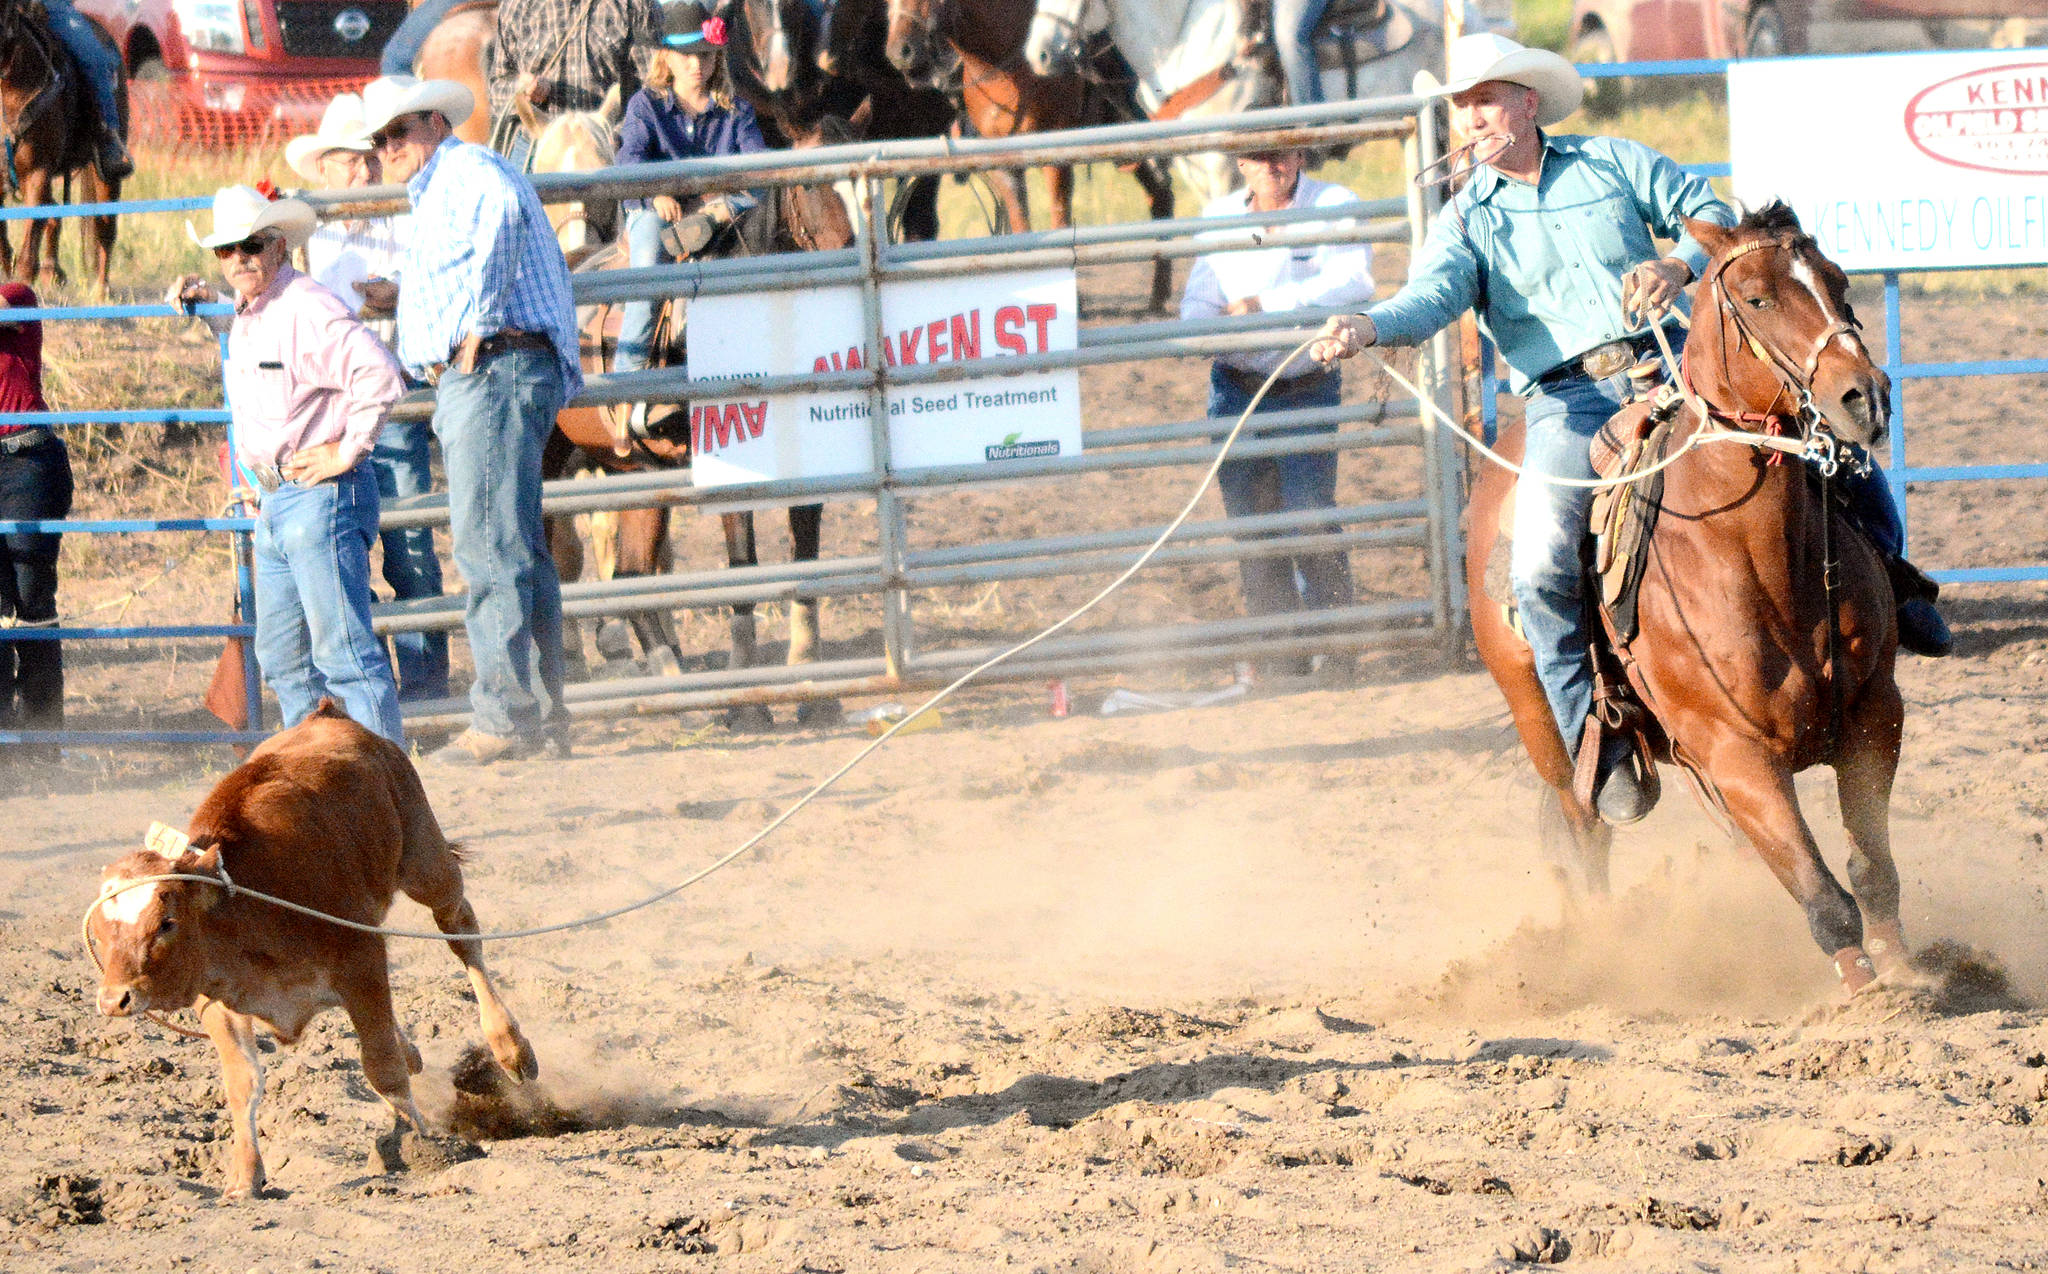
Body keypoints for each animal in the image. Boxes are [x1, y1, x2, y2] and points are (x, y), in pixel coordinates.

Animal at [0, 0, 121, 294]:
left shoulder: (39, 171)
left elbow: (33, 223)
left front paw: (22, 280)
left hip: (105, 173)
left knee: (105, 226)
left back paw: (101, 291)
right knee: (54, 213)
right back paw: (52, 271)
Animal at [88, 704, 536, 1204]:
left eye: (167, 922)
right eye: (101, 933)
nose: (113, 1000)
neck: (246, 902)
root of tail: (327, 715)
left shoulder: (362, 960)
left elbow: (382, 1066)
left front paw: (420, 1145)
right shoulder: (216, 998)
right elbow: (243, 1083)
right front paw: (245, 1176)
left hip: (426, 861)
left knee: (460, 931)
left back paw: (510, 1047)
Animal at [888, 0, 1179, 311]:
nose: (899, 52)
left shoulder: (1056, 157)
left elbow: (1060, 218)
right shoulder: (1005, 165)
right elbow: (1022, 228)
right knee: (1160, 195)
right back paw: (1158, 295)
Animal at [1474, 201, 1900, 999]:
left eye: (1837, 280)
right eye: (1757, 299)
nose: (1865, 398)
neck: (1755, 556)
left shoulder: (1875, 714)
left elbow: (1871, 867)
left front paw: (1911, 968)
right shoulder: (1733, 753)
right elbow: (1823, 894)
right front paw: (1868, 990)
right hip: (1549, 734)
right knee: (1586, 832)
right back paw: (1603, 952)